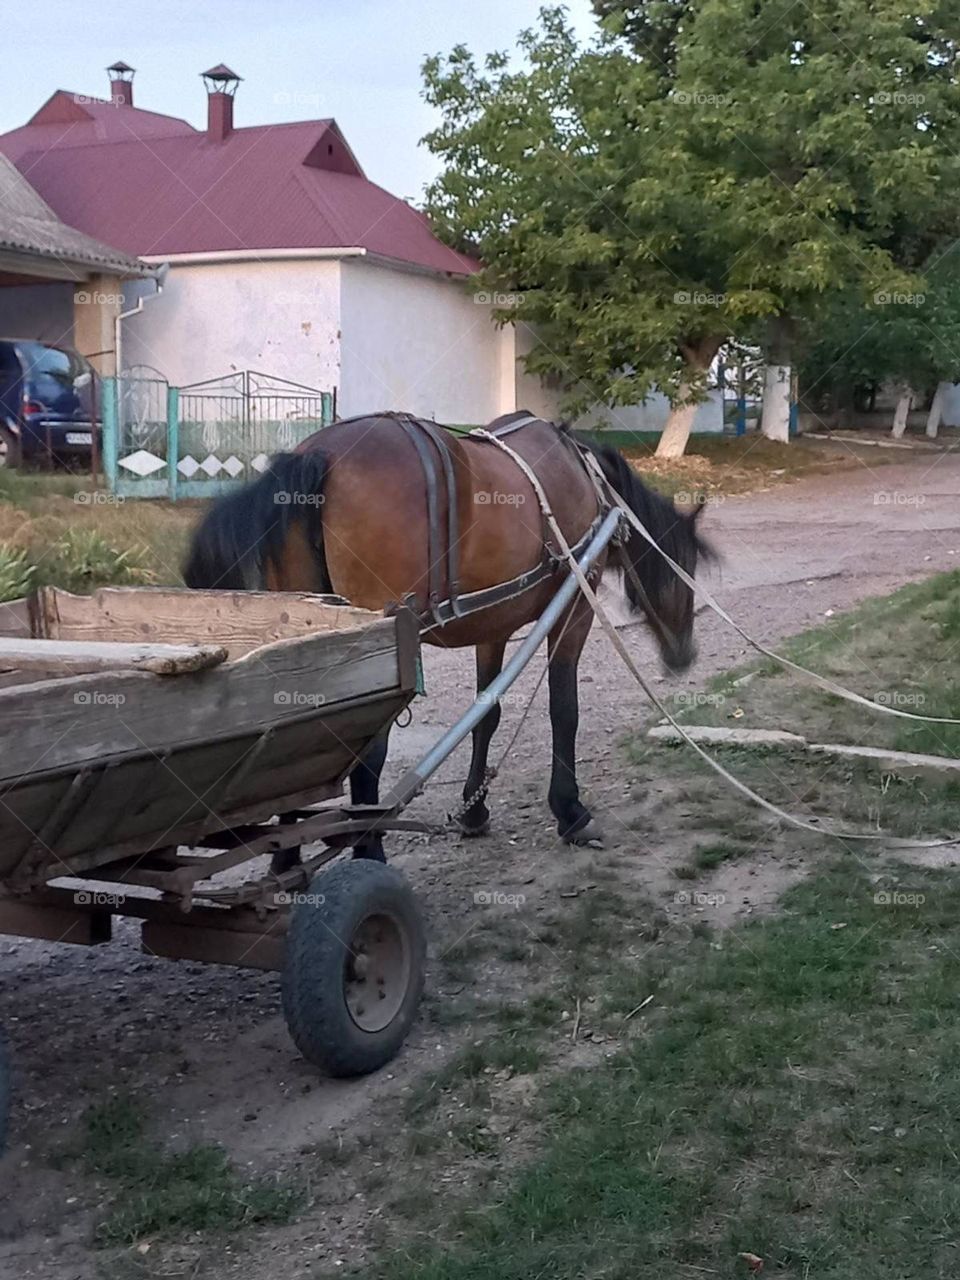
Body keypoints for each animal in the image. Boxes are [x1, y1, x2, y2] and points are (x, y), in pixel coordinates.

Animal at [182, 411, 711, 858]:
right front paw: (570, 811)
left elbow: (486, 714)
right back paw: (369, 854)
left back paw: (287, 859)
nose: (685, 654)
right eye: (682, 566)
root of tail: (319, 456)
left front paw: (475, 809)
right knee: (369, 756)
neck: (587, 482)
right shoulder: (574, 611)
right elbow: (564, 710)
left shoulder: (493, 624)